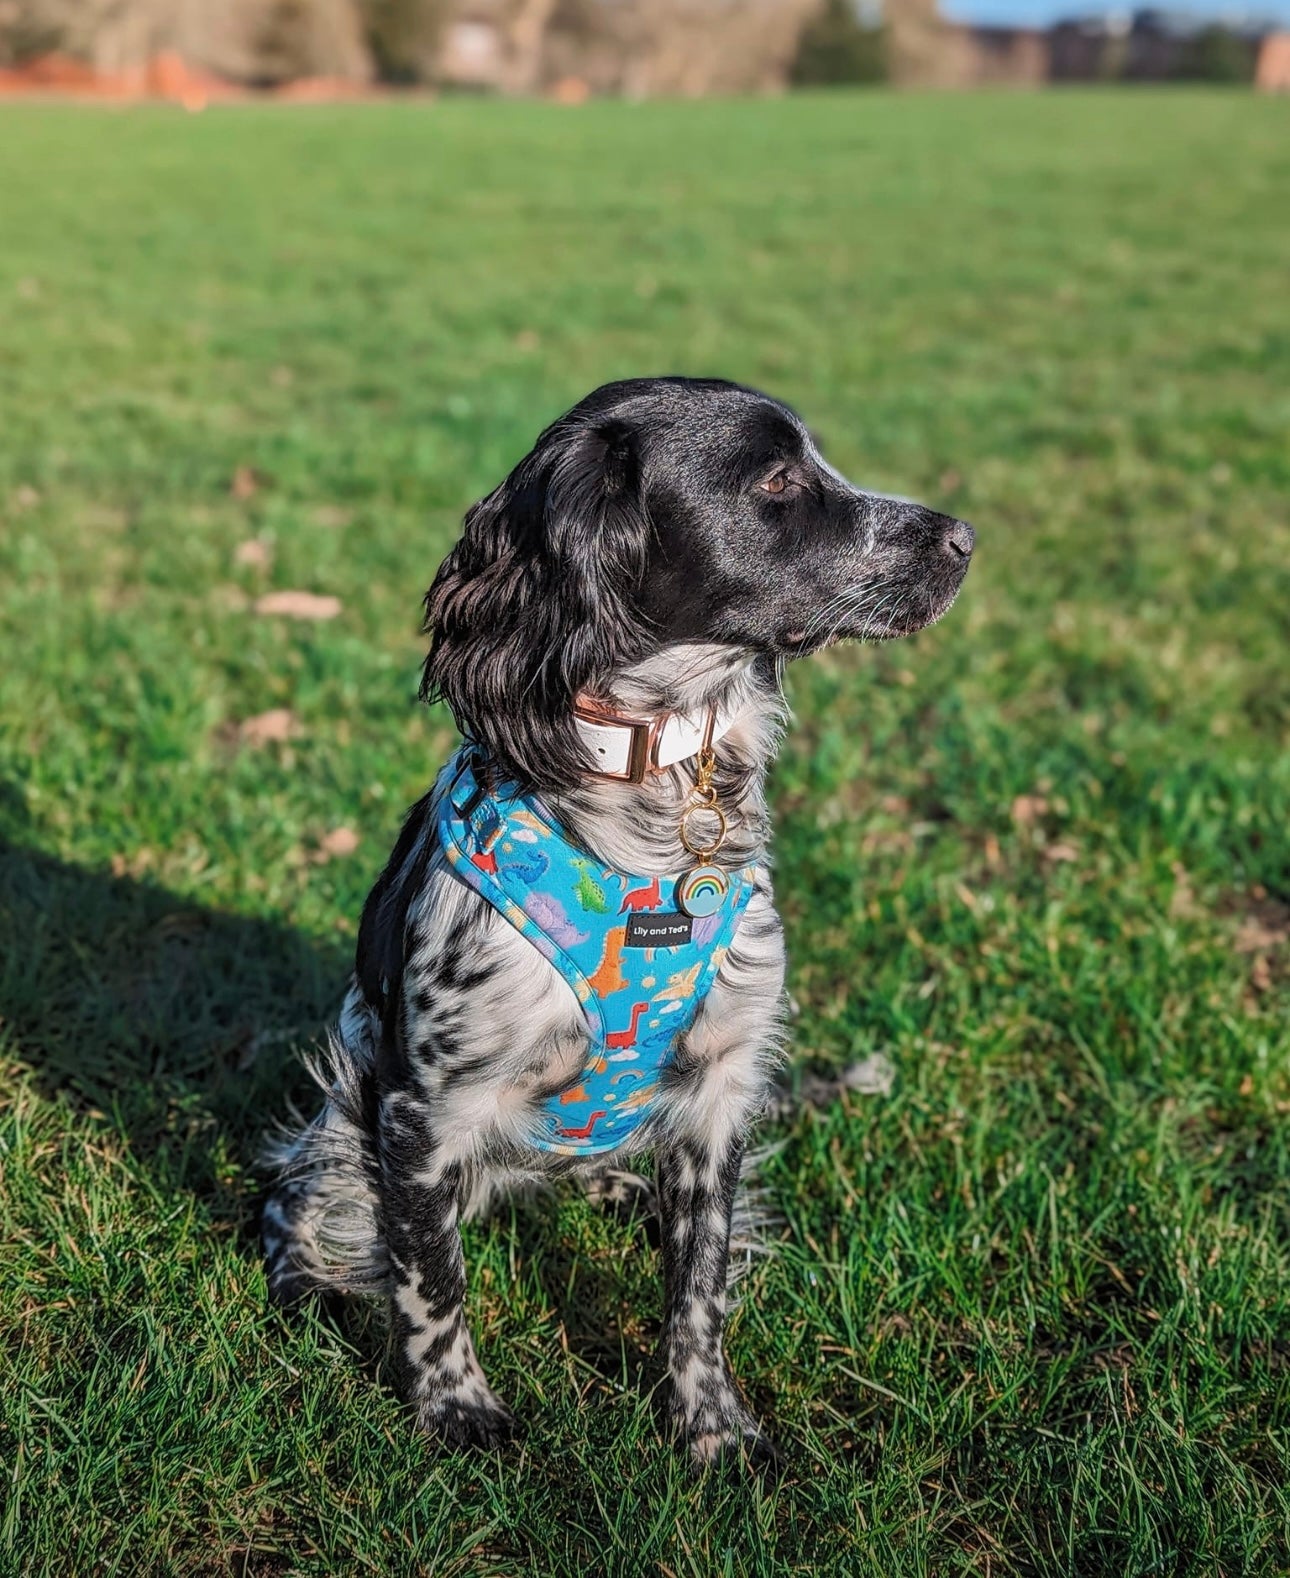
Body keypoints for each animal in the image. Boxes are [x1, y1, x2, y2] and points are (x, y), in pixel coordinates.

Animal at [258, 375, 966, 1458]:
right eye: (777, 481)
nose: (965, 537)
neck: (654, 783)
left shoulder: (719, 1094)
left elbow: (698, 1290)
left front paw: (712, 1429)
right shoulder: (422, 1112)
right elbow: (430, 1283)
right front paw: (456, 1411)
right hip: (344, 1131)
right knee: (304, 1210)